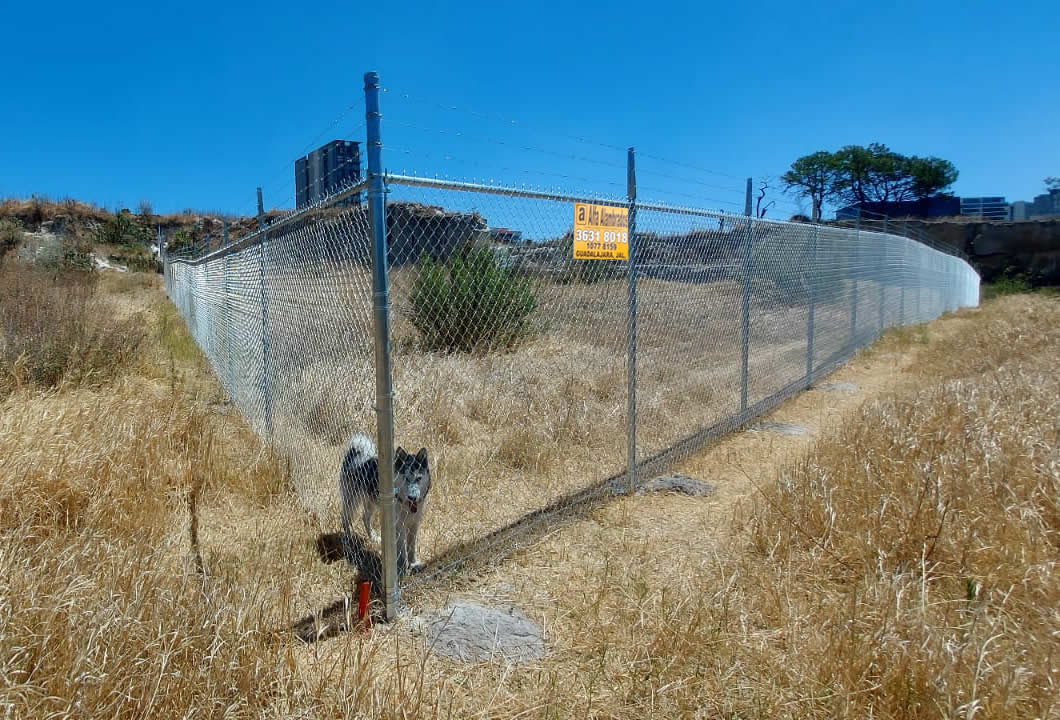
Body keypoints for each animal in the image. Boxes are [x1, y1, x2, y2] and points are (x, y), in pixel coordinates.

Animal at [332, 434, 428, 572]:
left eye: (419, 478)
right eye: (406, 478)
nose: (412, 497)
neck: (405, 504)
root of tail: (360, 457)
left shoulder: (414, 524)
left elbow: (411, 548)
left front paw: (414, 563)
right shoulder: (398, 526)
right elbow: (401, 551)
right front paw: (402, 569)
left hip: (371, 502)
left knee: (365, 517)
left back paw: (373, 537)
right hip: (352, 503)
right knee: (345, 519)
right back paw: (349, 540)